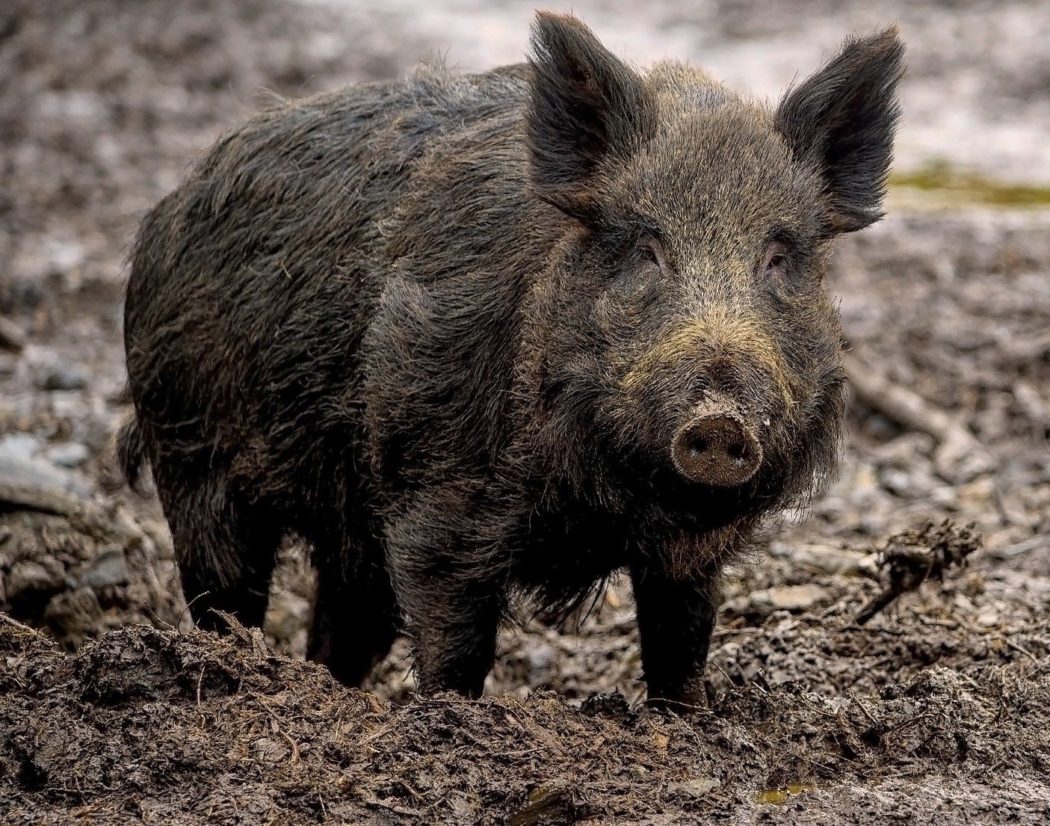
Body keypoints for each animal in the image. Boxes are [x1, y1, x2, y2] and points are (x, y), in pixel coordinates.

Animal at [119, 12, 903, 705]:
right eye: (645, 250)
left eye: (778, 256)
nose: (720, 419)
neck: (599, 500)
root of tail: (168, 206)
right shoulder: (439, 488)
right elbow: (455, 633)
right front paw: (451, 719)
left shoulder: (692, 554)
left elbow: (681, 637)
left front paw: (688, 717)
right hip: (192, 451)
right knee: (224, 589)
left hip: (344, 517)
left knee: (344, 618)